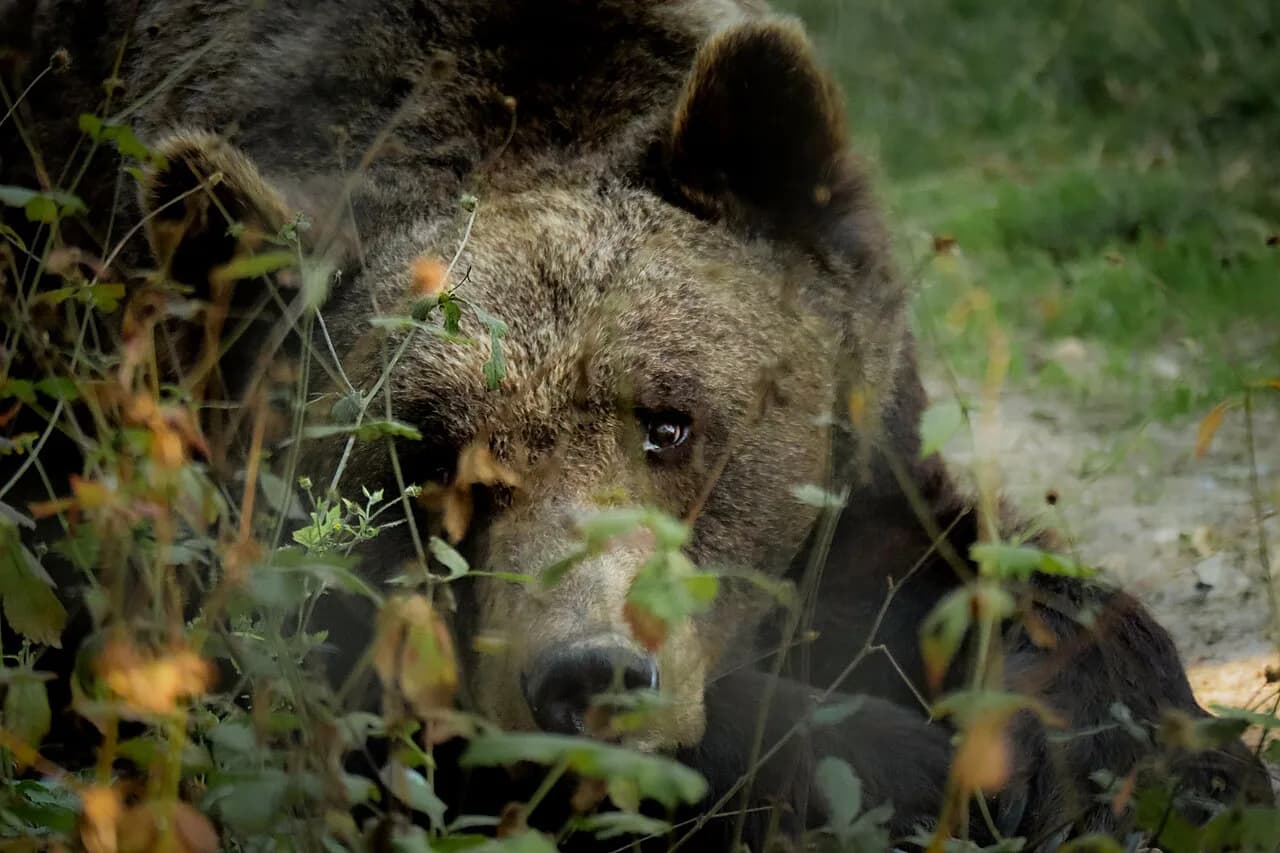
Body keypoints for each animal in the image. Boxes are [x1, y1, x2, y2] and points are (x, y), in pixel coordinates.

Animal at [0, 1, 1270, 850]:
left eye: (668, 424)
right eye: (429, 466)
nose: (590, 673)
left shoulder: (859, 438)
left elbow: (1000, 584)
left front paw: (1141, 769)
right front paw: (897, 761)